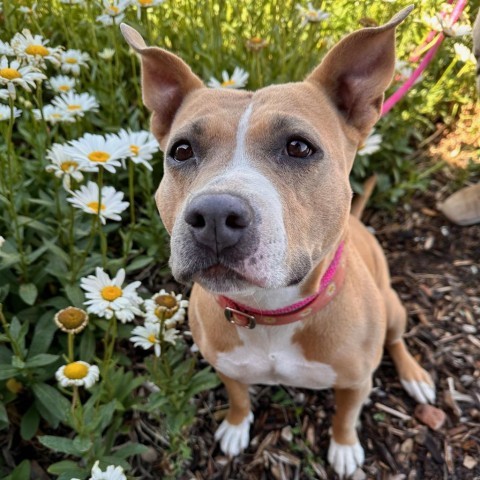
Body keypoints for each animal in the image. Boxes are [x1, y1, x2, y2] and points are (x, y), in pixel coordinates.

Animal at [120, 6, 436, 476]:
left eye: (299, 147)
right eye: (181, 151)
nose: (215, 216)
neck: (270, 311)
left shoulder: (357, 380)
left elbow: (347, 414)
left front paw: (344, 447)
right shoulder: (226, 366)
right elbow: (237, 395)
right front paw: (237, 425)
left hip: (393, 308)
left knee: (397, 339)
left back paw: (415, 376)